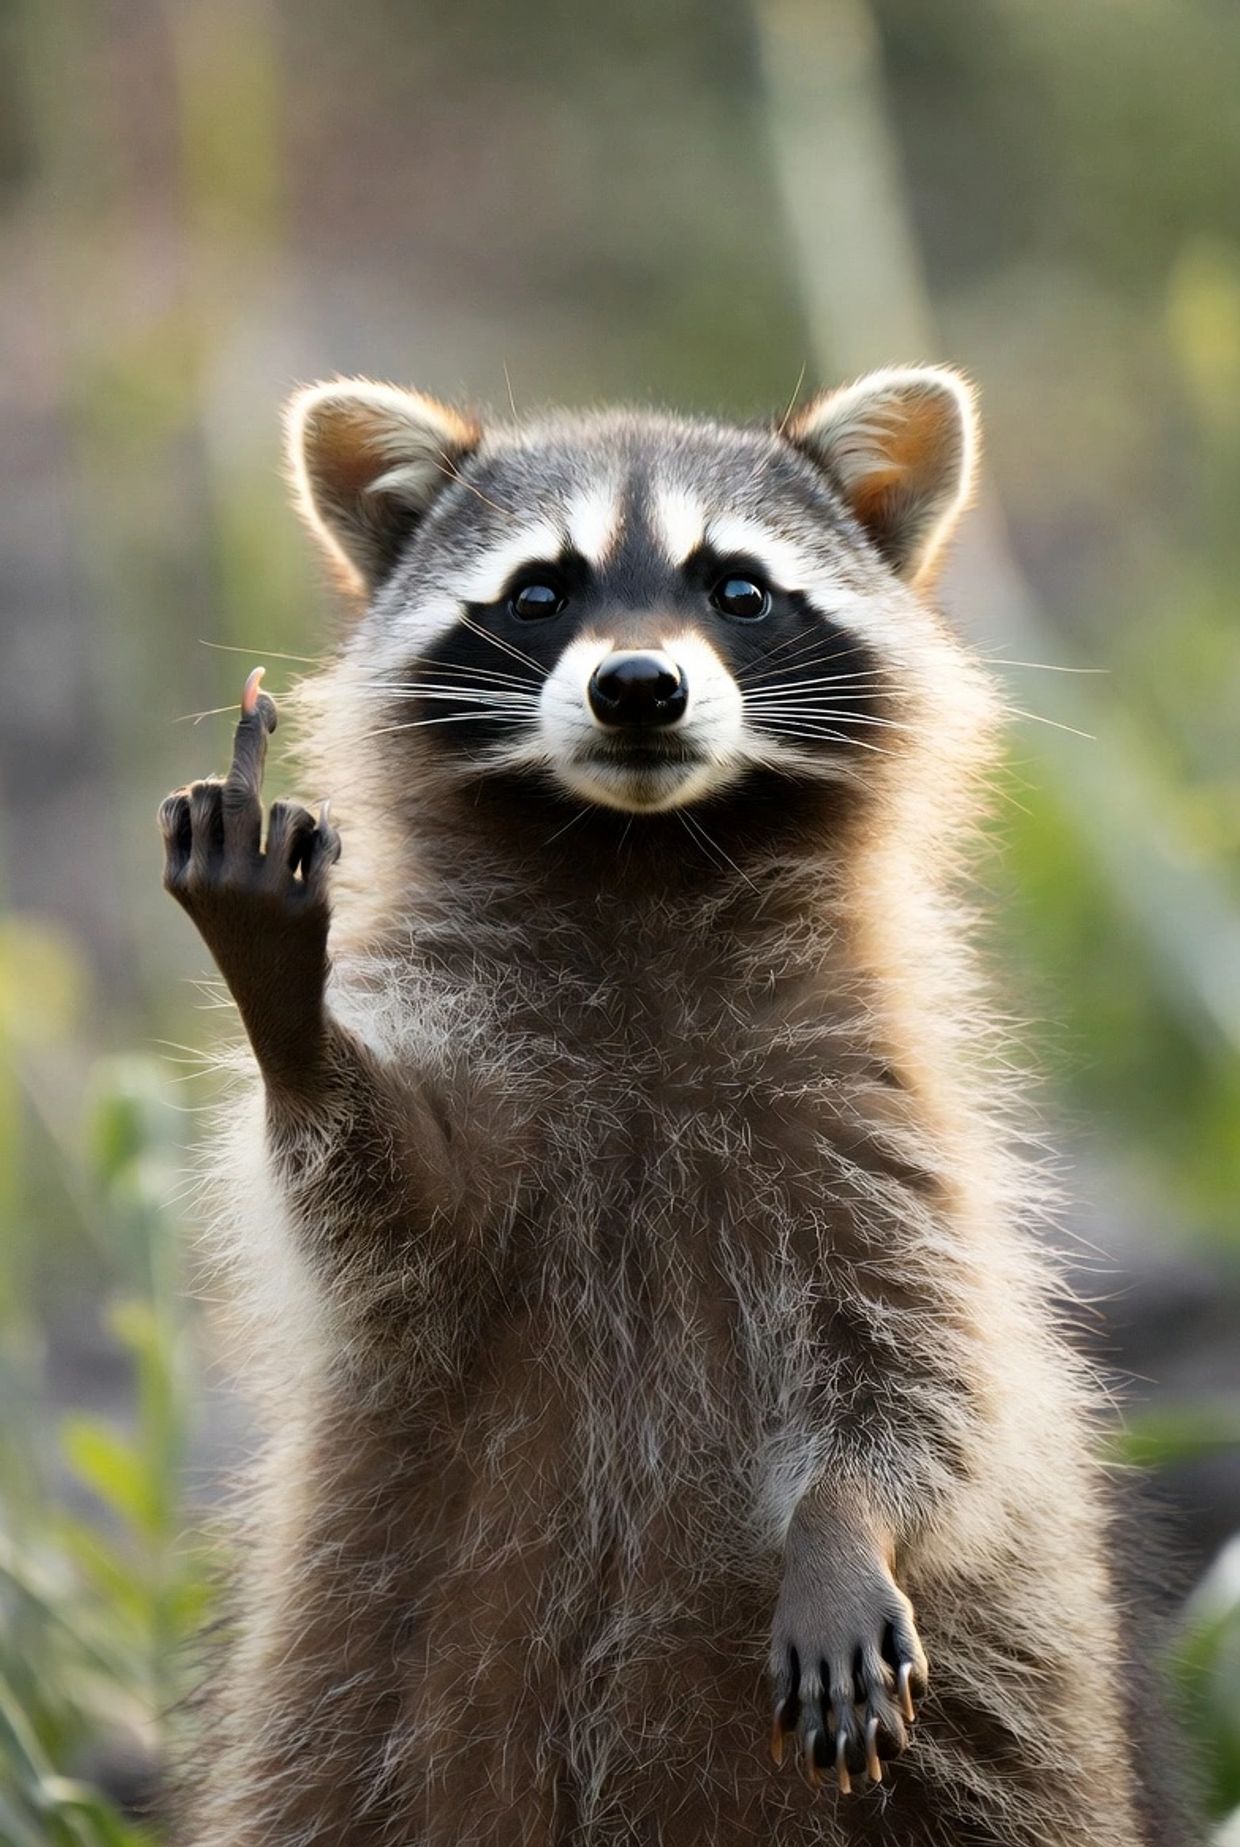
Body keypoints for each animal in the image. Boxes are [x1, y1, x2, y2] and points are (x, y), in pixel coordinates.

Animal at [161, 369, 1176, 1846]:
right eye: (539, 592)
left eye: (738, 588)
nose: (639, 685)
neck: (640, 856)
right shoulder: (476, 1058)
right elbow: (385, 1219)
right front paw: (293, 1024)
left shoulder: (876, 1099)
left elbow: (924, 1355)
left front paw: (845, 1520)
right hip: (353, 1660)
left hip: (994, 1724)